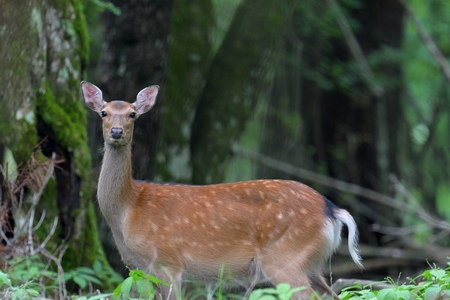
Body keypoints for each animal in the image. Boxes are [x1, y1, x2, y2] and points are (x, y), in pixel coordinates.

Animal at [81, 81, 362, 300]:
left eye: (132, 114)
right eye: (104, 113)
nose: (117, 132)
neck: (129, 210)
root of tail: (333, 210)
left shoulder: (167, 261)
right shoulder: (140, 269)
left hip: (285, 256)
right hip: (312, 263)